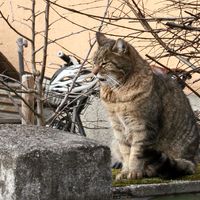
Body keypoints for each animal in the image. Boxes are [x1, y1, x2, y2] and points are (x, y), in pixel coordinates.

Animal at [93, 32, 199, 180]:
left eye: (105, 63)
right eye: (94, 62)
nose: (93, 72)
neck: (117, 94)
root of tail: (193, 162)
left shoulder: (143, 127)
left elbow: (136, 153)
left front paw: (134, 172)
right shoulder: (118, 127)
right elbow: (126, 152)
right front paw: (125, 172)